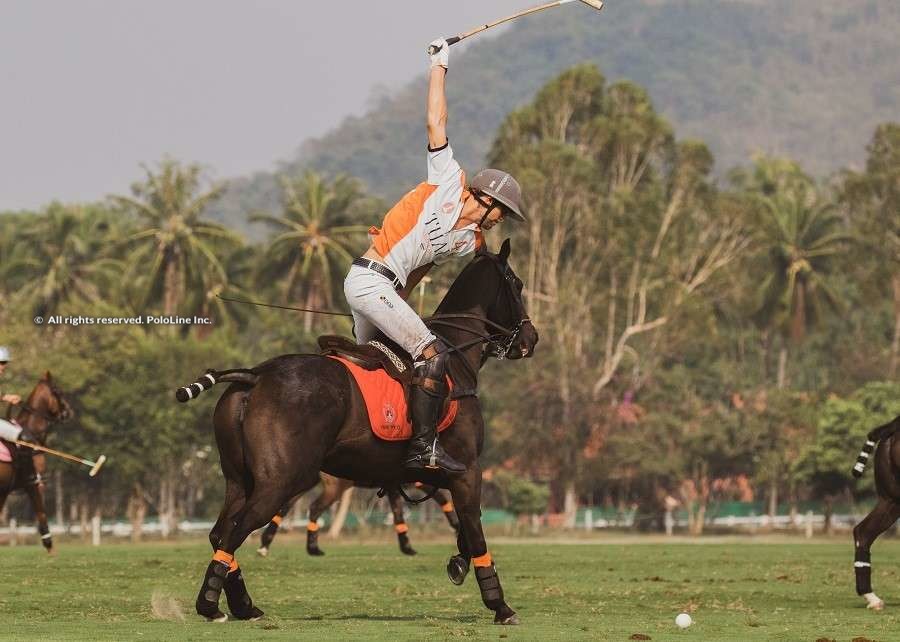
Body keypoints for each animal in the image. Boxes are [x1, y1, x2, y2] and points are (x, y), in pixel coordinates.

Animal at [0, 372, 73, 552]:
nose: (69, 411)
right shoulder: (33, 482)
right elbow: (41, 512)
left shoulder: (4, 489)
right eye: (57, 390)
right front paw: (50, 546)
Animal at [256, 470, 460, 556]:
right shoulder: (412, 482)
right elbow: (442, 498)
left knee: (285, 507)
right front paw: (457, 527)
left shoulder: (395, 485)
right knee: (314, 507)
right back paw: (313, 547)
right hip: (336, 486)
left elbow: (397, 513)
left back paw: (265, 545)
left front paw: (406, 547)